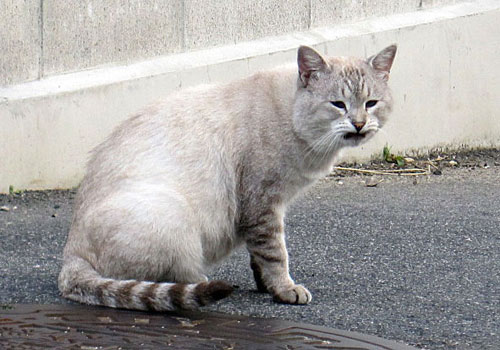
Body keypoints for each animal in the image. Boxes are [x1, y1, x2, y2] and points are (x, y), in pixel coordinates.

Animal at [58, 43, 396, 308]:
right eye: (338, 104)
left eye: (371, 103)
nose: (359, 124)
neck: (291, 115)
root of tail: (70, 255)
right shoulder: (263, 203)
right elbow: (275, 253)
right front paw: (285, 289)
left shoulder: (266, 210)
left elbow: (259, 256)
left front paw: (266, 286)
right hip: (173, 214)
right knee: (163, 277)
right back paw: (201, 283)